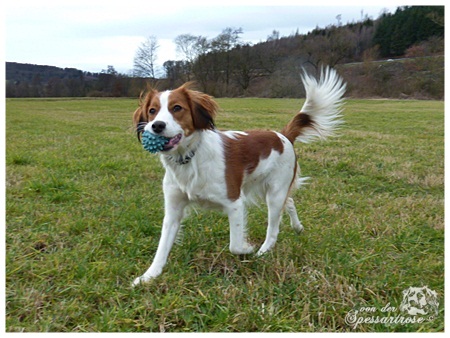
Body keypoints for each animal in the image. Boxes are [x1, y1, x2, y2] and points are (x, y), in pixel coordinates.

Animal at [132, 67, 346, 284]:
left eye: (177, 108)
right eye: (152, 111)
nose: (157, 125)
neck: (190, 158)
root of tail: (282, 135)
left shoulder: (234, 202)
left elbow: (234, 245)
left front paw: (247, 248)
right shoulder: (173, 209)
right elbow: (162, 247)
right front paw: (148, 276)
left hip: (274, 194)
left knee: (274, 228)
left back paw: (263, 251)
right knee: (291, 202)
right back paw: (298, 227)